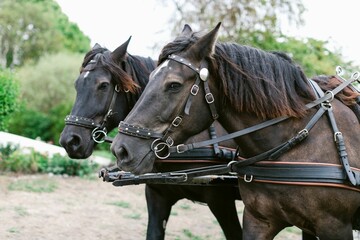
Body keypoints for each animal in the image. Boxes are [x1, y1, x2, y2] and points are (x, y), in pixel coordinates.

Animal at [112, 23, 360, 240]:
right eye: (149, 78)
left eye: (174, 85)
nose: (121, 149)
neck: (294, 142)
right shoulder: (258, 221)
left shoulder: (334, 226)